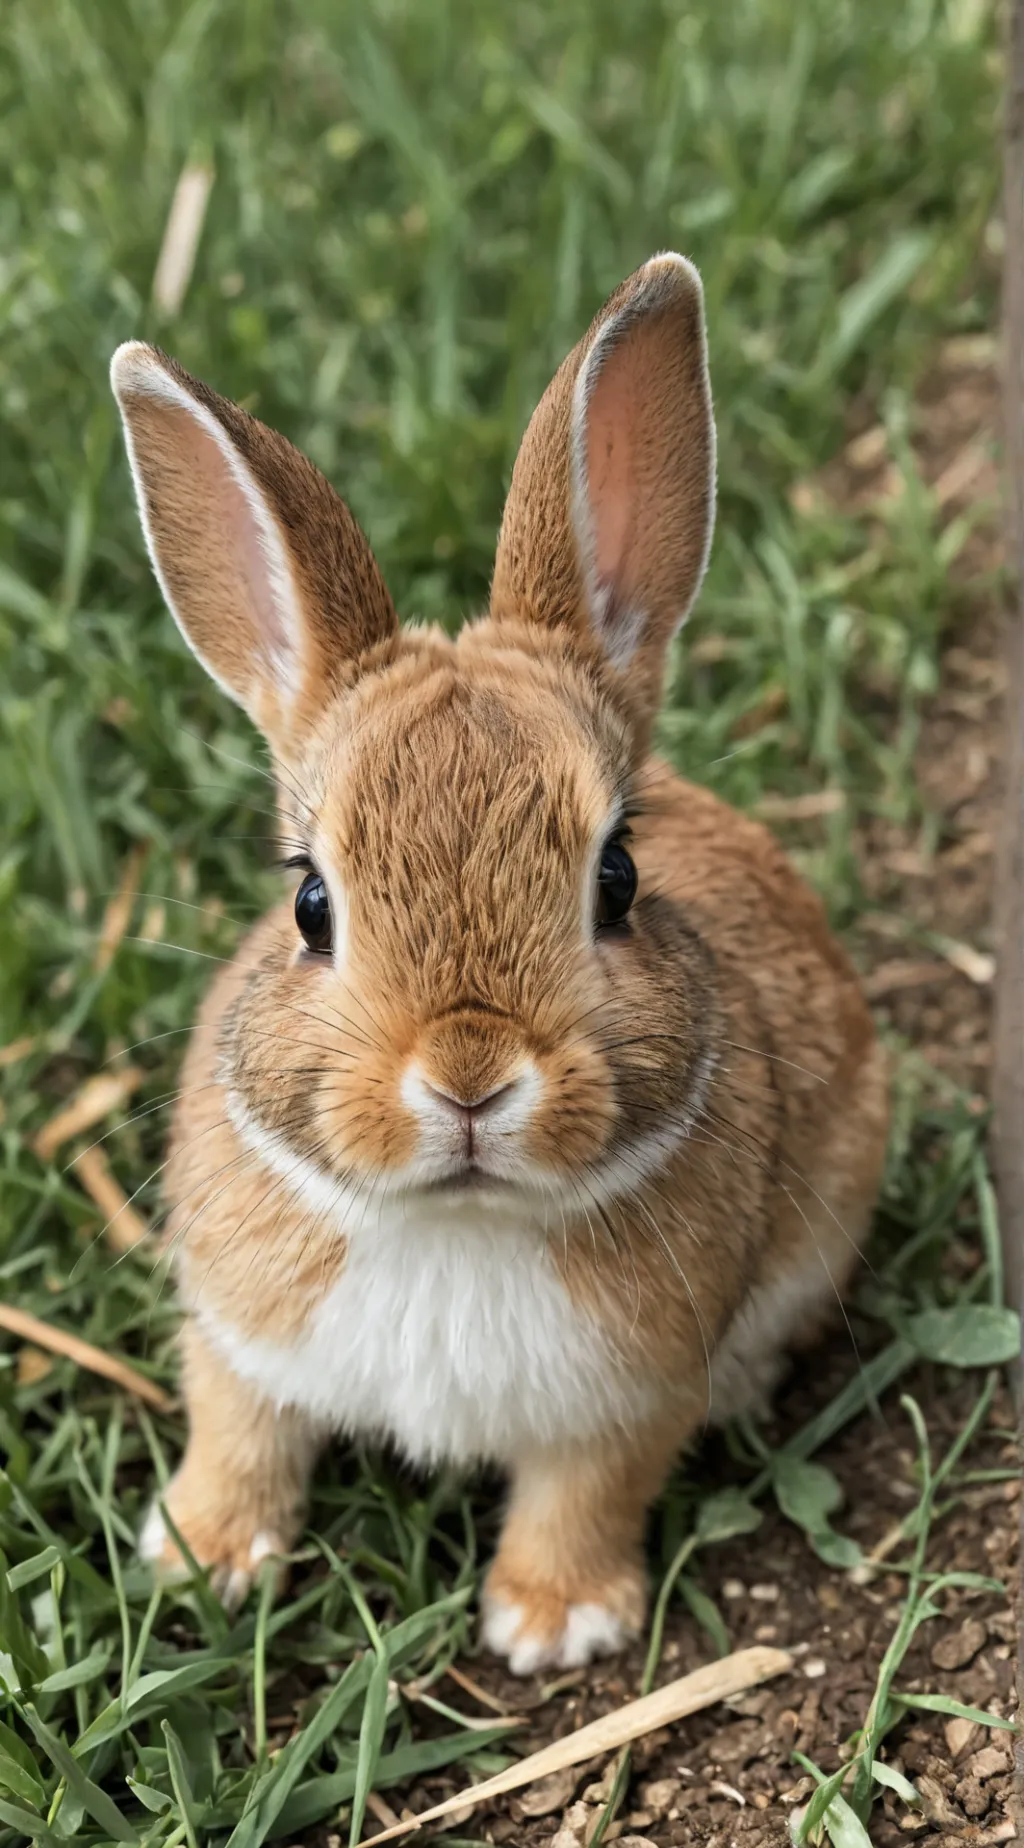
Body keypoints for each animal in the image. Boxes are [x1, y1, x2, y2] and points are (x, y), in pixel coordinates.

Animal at [110, 252, 888, 1672]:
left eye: (616, 878)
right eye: (311, 902)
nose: (469, 1079)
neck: (455, 1222)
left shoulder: (632, 1395)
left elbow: (586, 1495)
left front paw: (551, 1624)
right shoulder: (236, 1336)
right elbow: (240, 1432)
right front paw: (202, 1556)